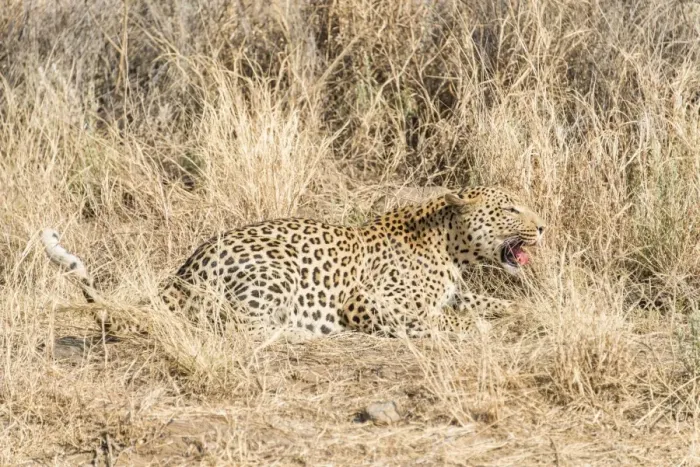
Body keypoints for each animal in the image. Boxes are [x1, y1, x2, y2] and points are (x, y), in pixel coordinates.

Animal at [41, 186, 546, 338]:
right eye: (511, 207)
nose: (542, 227)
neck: (449, 247)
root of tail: (181, 274)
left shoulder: (458, 294)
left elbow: (493, 304)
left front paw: (529, 311)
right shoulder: (364, 300)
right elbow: (433, 318)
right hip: (277, 271)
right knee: (238, 326)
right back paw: (303, 331)